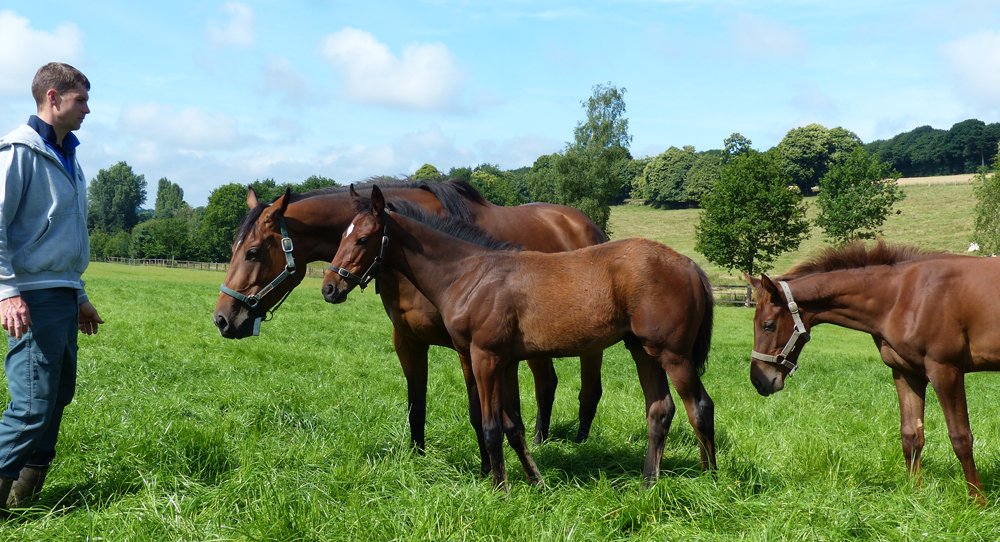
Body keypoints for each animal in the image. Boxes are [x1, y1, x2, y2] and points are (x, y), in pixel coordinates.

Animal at [212, 179, 609, 473]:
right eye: (232, 249)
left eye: (253, 252)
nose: (223, 319)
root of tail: (589, 227)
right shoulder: (408, 340)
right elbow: (416, 404)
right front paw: (417, 461)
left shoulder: (468, 349)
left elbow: (476, 411)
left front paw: (485, 471)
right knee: (547, 384)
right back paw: (540, 442)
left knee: (589, 389)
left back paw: (580, 443)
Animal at [321, 185, 716, 489]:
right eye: (340, 236)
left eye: (363, 238)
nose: (330, 287)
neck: (470, 274)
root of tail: (690, 265)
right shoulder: (507, 362)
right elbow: (514, 425)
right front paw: (536, 482)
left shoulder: (485, 357)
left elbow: (491, 425)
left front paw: (500, 489)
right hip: (642, 350)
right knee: (659, 409)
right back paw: (649, 481)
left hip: (672, 354)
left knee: (700, 406)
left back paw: (709, 479)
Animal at [746, 240, 999, 504]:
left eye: (768, 325)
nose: (759, 380)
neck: (904, 296)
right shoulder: (907, 373)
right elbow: (911, 436)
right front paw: (915, 496)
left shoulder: (945, 371)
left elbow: (961, 438)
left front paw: (978, 501)